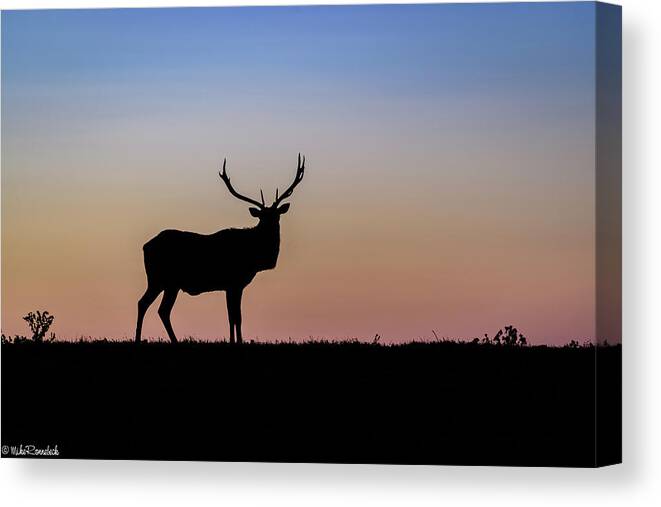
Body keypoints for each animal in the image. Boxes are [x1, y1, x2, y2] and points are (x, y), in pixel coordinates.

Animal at [137, 154, 306, 346]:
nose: (270, 227)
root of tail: (145, 246)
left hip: (168, 283)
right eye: (262, 217)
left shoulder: (232, 285)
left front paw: (235, 340)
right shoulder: (234, 282)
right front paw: (237, 342)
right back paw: (144, 339)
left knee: (157, 308)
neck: (254, 258)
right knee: (149, 305)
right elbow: (235, 317)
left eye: (276, 215)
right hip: (160, 279)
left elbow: (234, 316)